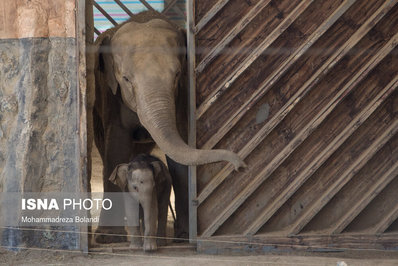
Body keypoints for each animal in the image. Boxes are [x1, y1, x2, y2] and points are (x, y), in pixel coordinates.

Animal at [91, 11, 246, 242]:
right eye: (126, 79)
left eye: (177, 75)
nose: (240, 166)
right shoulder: (112, 98)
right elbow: (116, 147)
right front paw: (108, 238)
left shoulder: (182, 96)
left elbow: (179, 156)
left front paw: (183, 236)